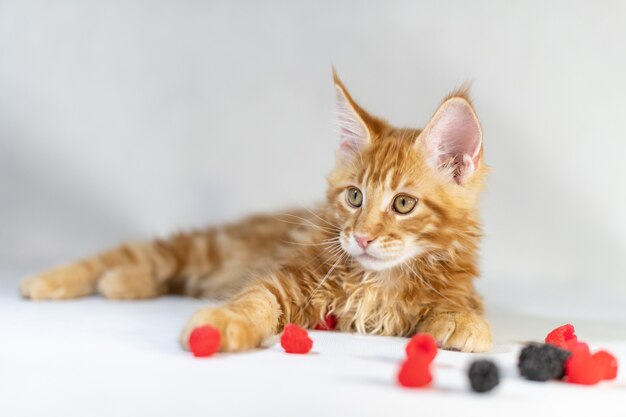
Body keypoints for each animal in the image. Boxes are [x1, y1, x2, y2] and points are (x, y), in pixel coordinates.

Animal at [20, 70, 492, 352]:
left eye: (403, 203)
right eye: (355, 197)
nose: (360, 237)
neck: (379, 280)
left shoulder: (455, 282)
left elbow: (462, 303)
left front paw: (463, 322)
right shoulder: (288, 278)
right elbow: (254, 300)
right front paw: (220, 324)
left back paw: (121, 283)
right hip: (208, 248)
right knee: (138, 254)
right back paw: (49, 280)